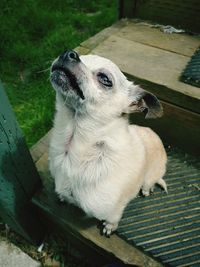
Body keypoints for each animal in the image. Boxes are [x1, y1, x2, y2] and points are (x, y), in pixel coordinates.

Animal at [48, 49, 167, 237]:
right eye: (71, 52)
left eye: (105, 79)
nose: (68, 53)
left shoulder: (113, 209)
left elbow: (113, 218)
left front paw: (109, 227)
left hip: (151, 177)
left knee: (149, 183)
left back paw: (146, 190)